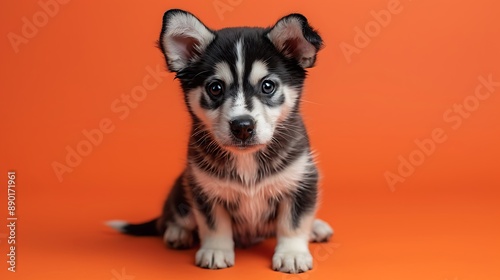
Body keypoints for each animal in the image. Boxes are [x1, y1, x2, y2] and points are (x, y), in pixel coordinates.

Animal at [111, 9, 334, 274]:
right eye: (215, 88)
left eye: (268, 86)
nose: (242, 126)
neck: (246, 159)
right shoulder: (205, 190)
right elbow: (214, 225)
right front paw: (215, 251)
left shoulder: (300, 181)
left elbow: (293, 222)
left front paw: (292, 254)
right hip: (182, 190)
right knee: (171, 218)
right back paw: (177, 233)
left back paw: (317, 228)